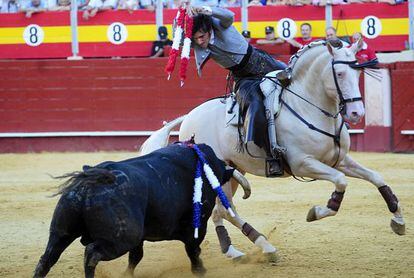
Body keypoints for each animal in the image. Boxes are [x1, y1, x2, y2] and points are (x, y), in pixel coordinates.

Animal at [33, 144, 236, 276]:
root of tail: (91, 183)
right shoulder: (197, 224)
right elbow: (193, 249)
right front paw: (200, 270)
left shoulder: (141, 237)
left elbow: (136, 257)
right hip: (123, 237)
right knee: (91, 254)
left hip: (61, 232)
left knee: (47, 259)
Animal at [142, 41, 404, 260]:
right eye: (339, 74)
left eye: (358, 72)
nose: (356, 113)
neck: (309, 106)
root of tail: (189, 116)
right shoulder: (304, 164)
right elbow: (341, 181)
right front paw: (318, 211)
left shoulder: (339, 160)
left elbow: (376, 177)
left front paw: (398, 220)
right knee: (226, 211)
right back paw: (264, 246)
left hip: (234, 172)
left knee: (221, 211)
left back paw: (233, 250)